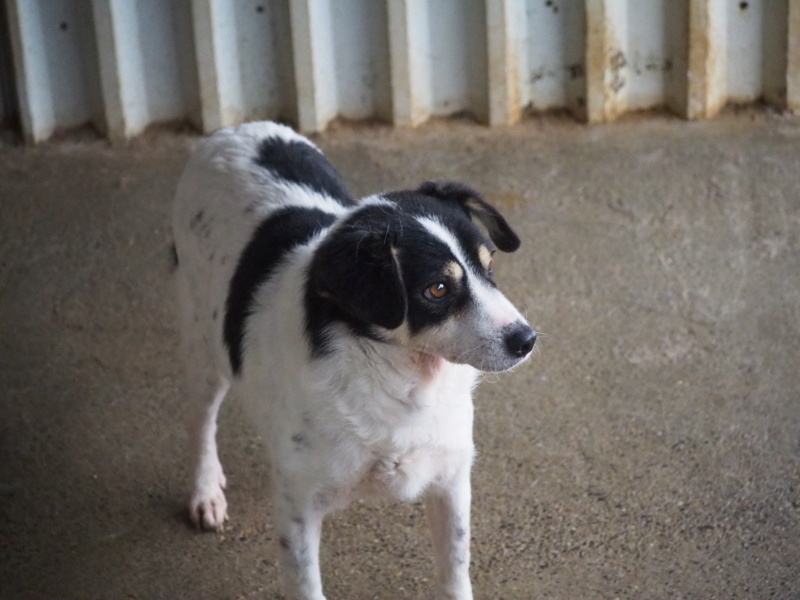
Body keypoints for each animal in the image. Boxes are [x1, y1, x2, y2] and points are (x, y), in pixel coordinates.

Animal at [174, 123, 536, 600]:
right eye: (437, 289)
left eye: (489, 267)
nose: (526, 340)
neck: (399, 378)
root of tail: (235, 128)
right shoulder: (298, 507)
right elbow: (306, 587)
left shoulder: (451, 479)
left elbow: (455, 573)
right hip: (202, 347)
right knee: (200, 421)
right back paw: (205, 492)